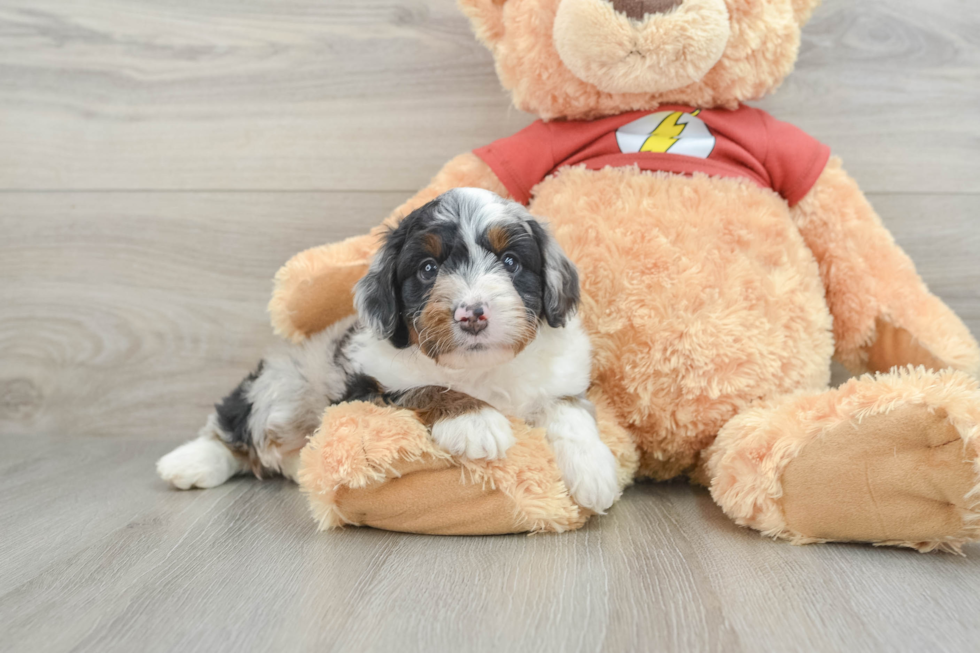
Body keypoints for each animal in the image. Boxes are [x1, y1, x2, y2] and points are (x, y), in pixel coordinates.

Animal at [160, 188, 620, 516]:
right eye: (428, 269)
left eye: (510, 262)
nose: (472, 314)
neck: (479, 370)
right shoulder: (364, 387)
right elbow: (425, 388)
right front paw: (475, 420)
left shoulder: (560, 378)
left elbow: (569, 410)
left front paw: (595, 471)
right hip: (281, 382)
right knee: (235, 423)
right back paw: (189, 462)